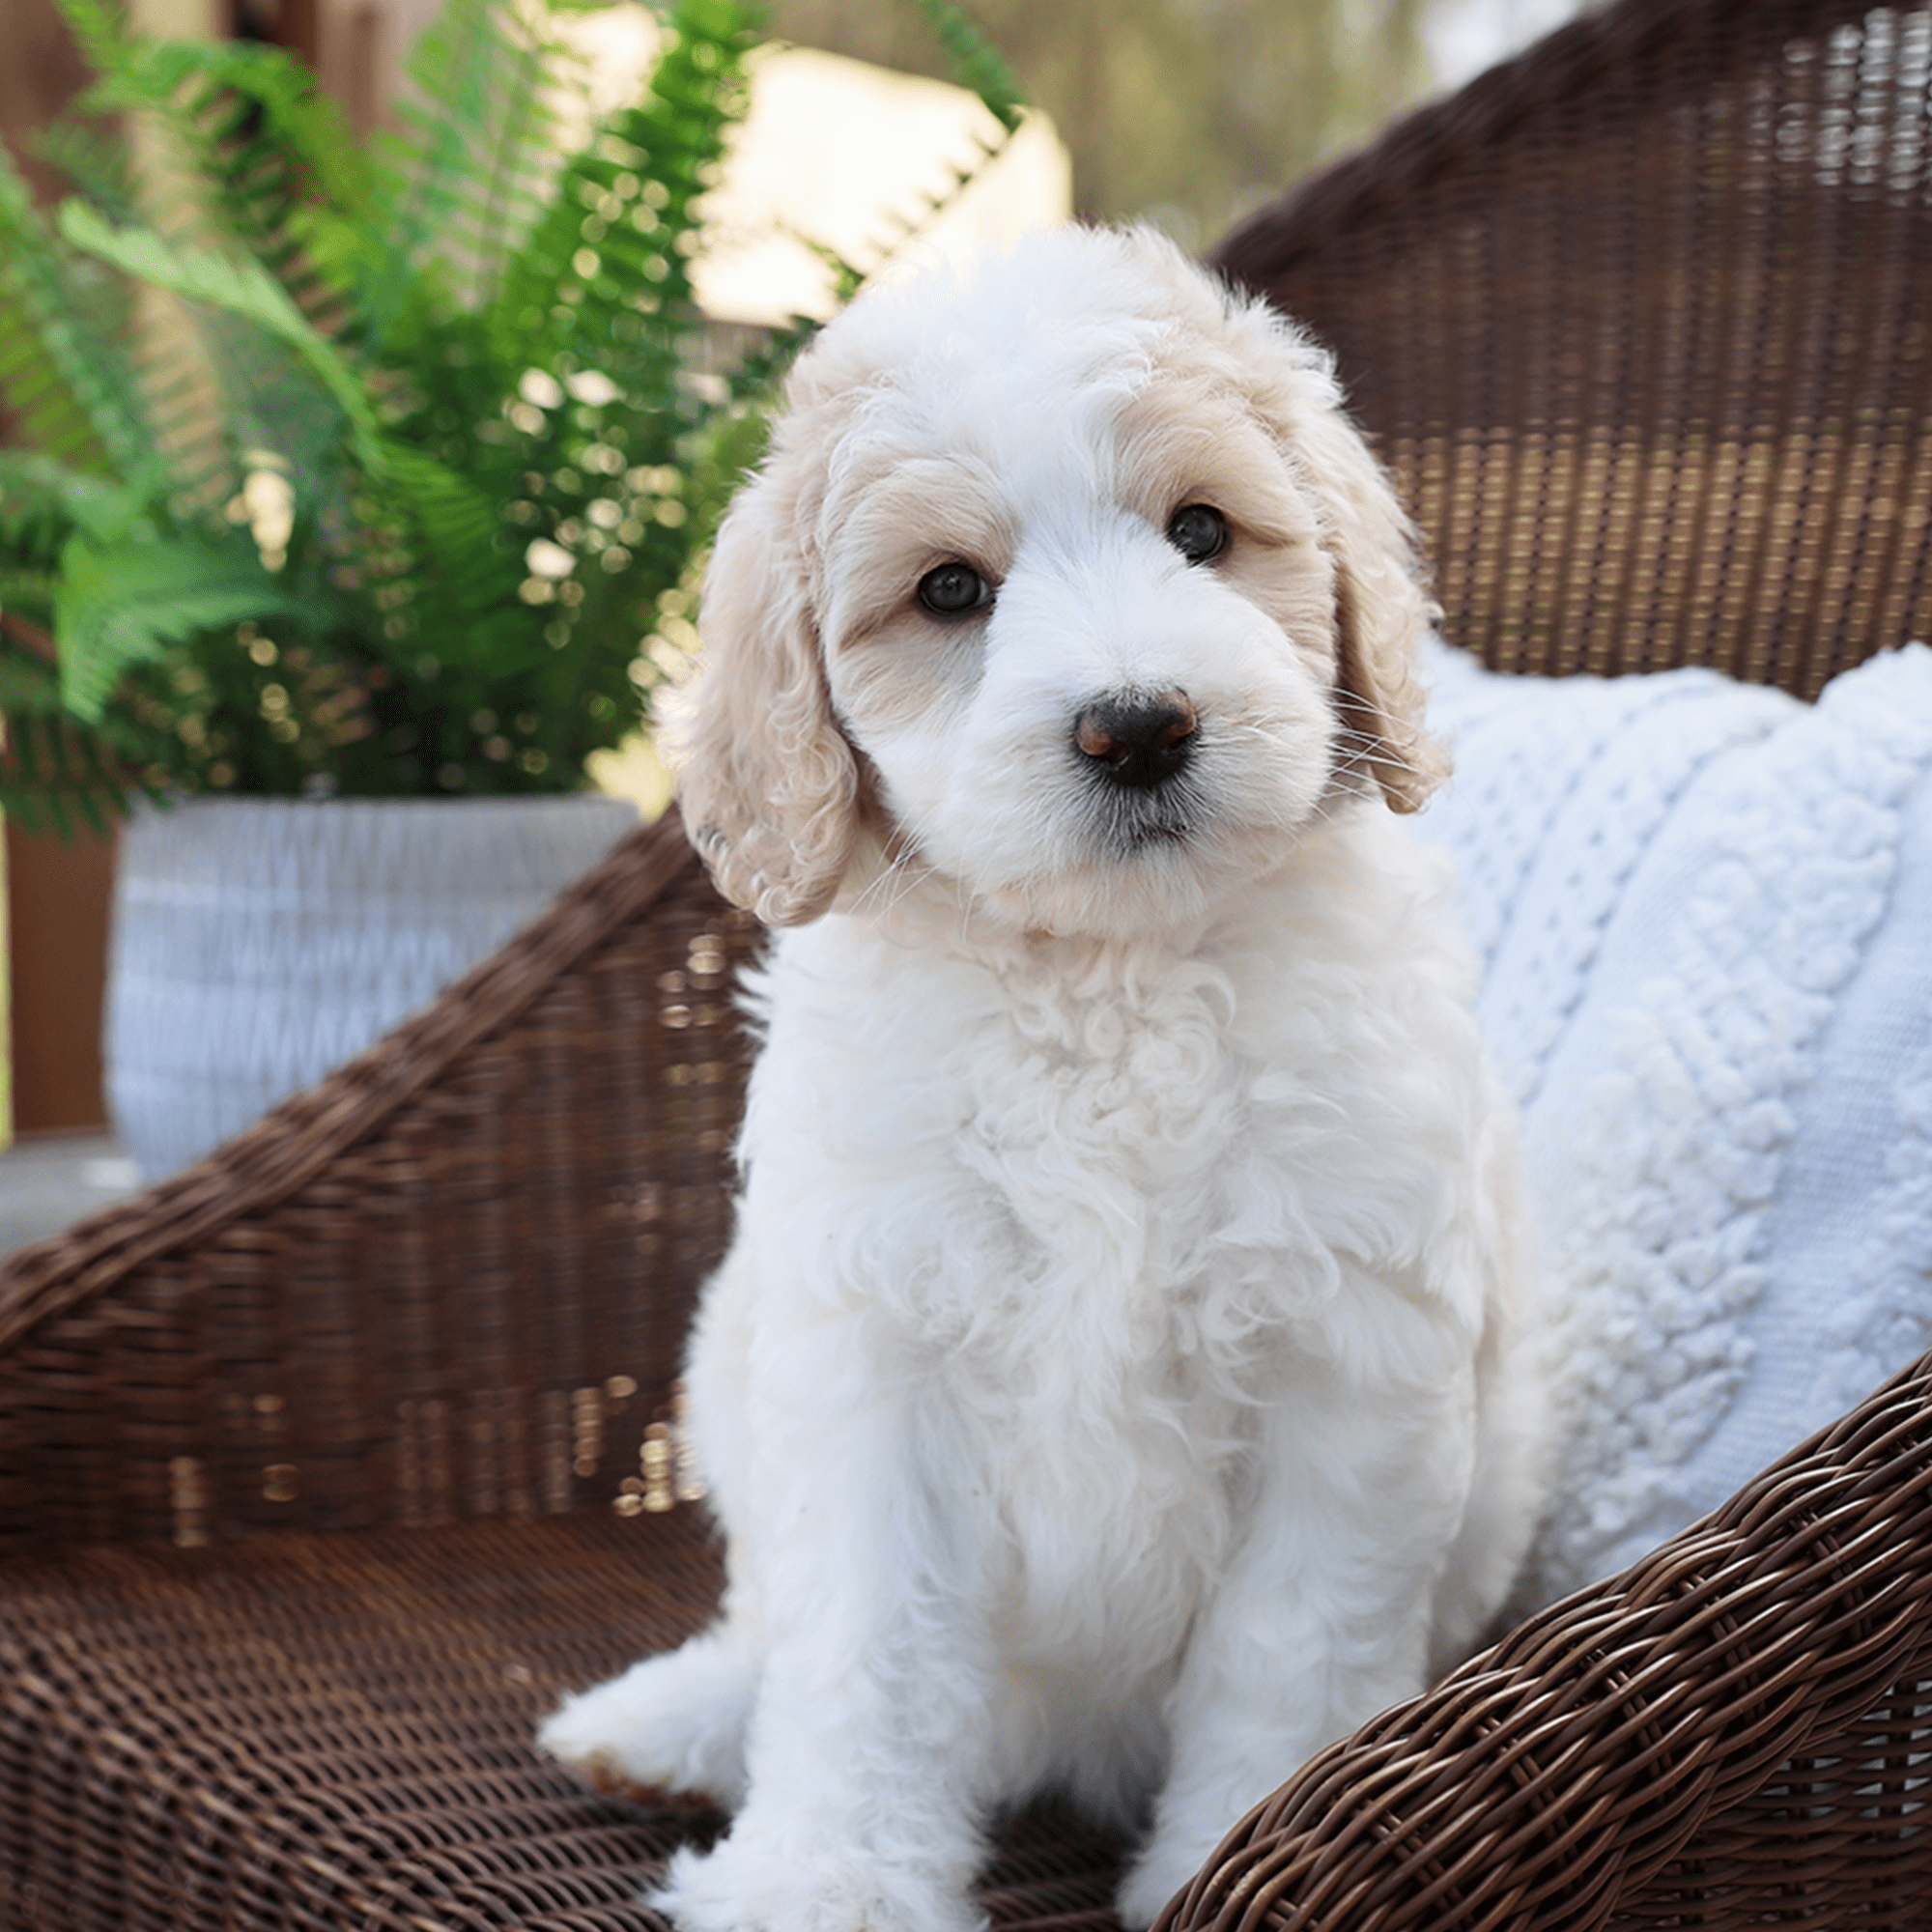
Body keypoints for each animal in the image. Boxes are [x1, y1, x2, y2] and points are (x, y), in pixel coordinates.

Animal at [541, 226, 1538, 1932]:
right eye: (952, 591)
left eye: (1201, 531)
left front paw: (1245, 1853)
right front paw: (829, 1886)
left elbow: (1290, 1646)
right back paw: (679, 1722)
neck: (1104, 982)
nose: (1137, 727)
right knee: (770, 1639)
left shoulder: (1348, 1364)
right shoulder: (874, 1357)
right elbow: (862, 1656)